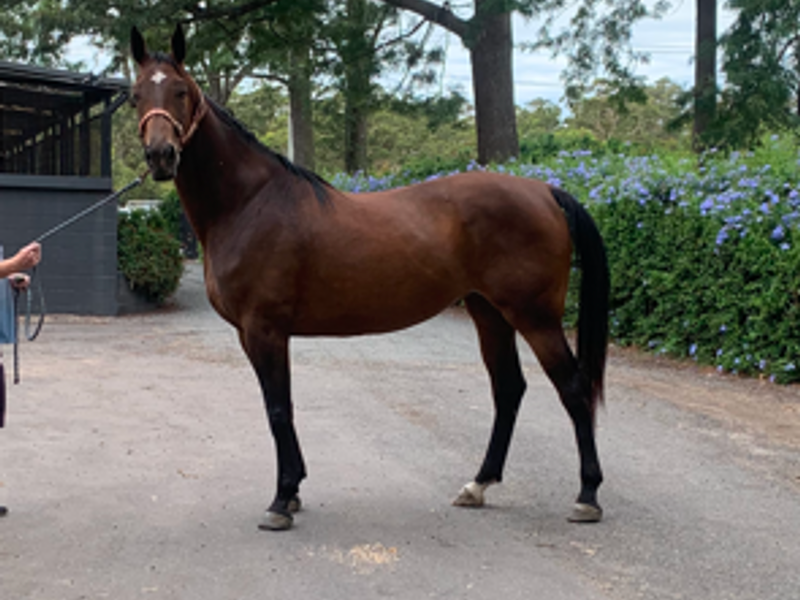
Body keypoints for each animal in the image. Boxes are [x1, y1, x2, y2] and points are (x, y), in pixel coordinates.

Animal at [130, 25, 610, 531]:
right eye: (135, 95)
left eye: (181, 92)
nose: (160, 155)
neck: (249, 202)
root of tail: (546, 191)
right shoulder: (261, 333)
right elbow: (282, 408)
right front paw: (293, 492)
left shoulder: (263, 329)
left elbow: (278, 408)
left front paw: (281, 500)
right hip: (489, 312)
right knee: (509, 389)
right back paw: (478, 485)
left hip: (534, 317)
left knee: (573, 389)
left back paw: (587, 495)